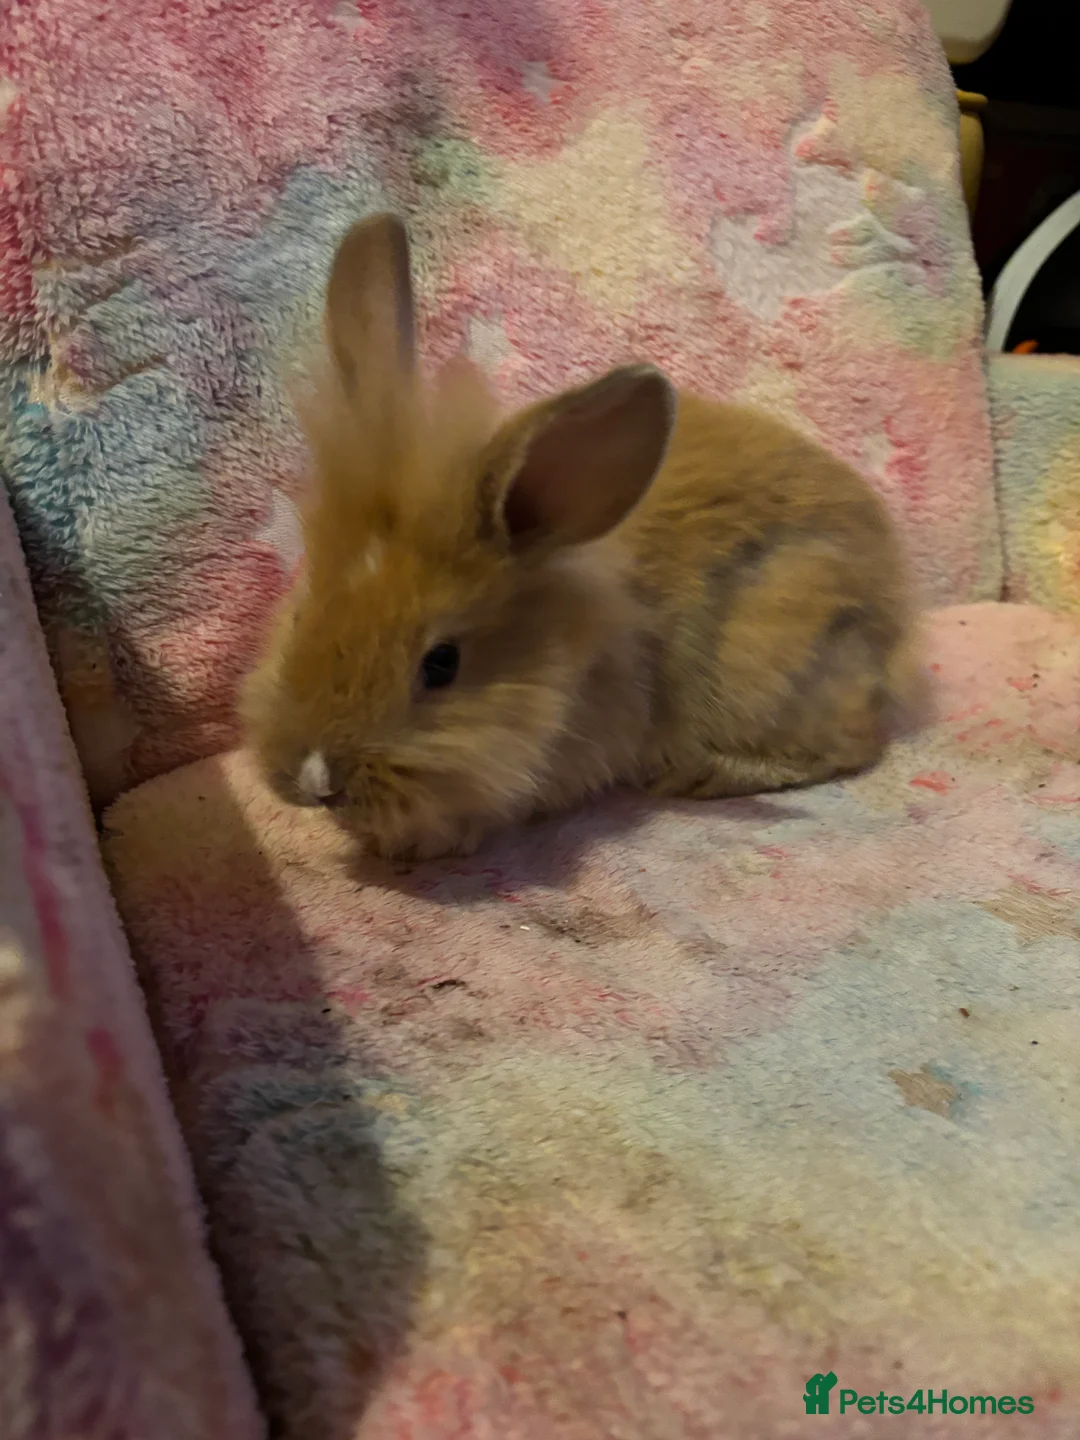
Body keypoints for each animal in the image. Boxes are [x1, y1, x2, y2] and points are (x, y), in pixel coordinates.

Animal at [241, 212, 923, 860]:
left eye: (442, 664)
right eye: (300, 618)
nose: (315, 782)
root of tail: (892, 601)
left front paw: (420, 843)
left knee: (854, 747)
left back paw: (703, 776)